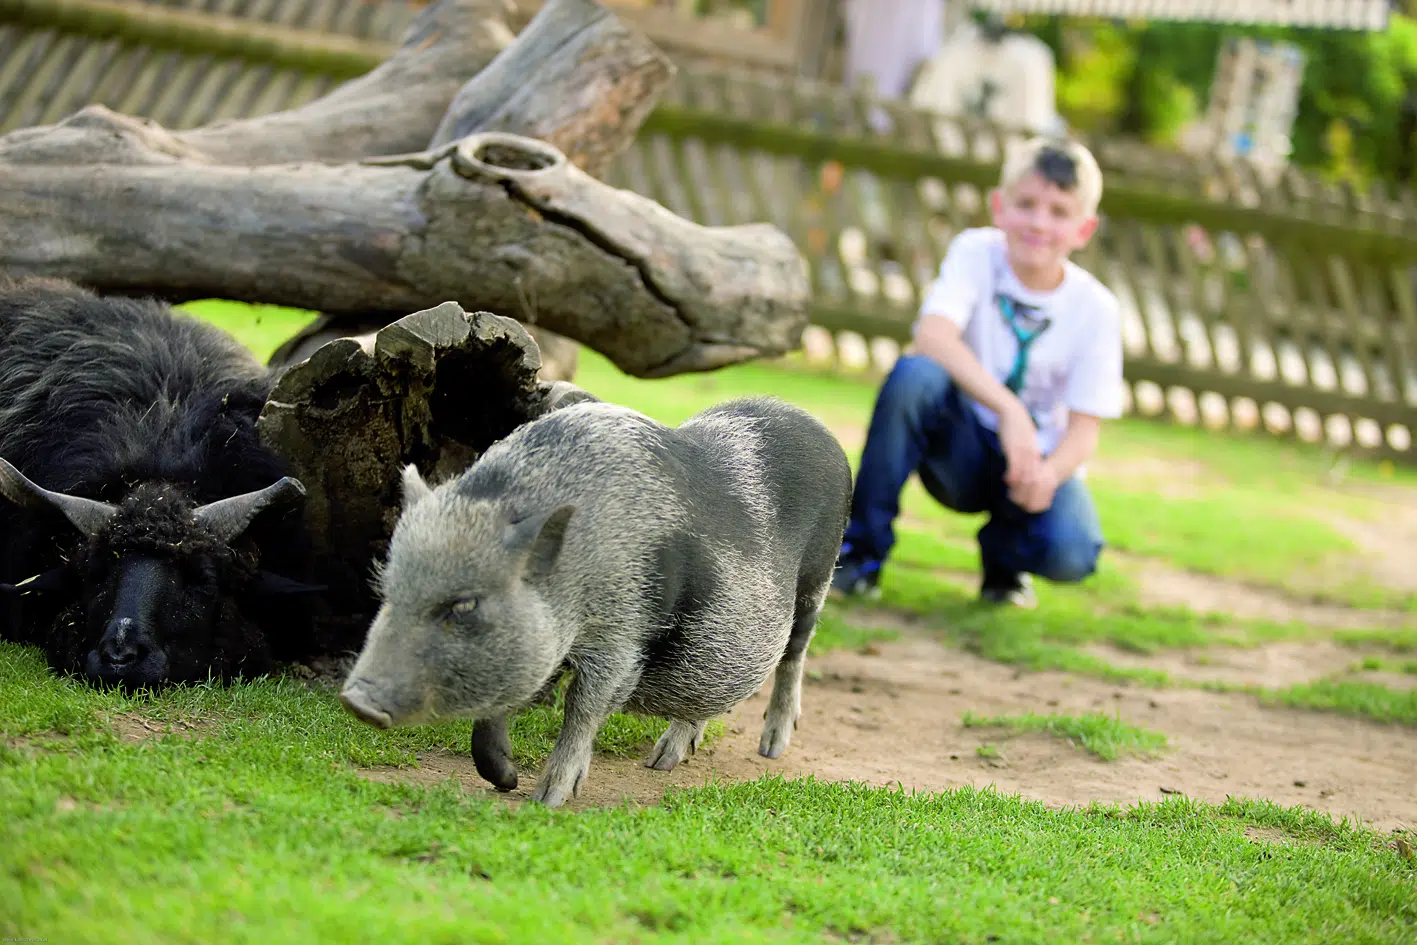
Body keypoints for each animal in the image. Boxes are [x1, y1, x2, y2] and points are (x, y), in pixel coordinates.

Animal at [340, 396, 850, 804]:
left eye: (464, 605)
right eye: (388, 589)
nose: (356, 700)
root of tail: (820, 428)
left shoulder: (621, 635)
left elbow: (583, 706)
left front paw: (549, 798)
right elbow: (495, 711)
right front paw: (505, 781)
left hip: (818, 578)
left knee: (793, 656)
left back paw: (770, 748)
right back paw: (664, 762)